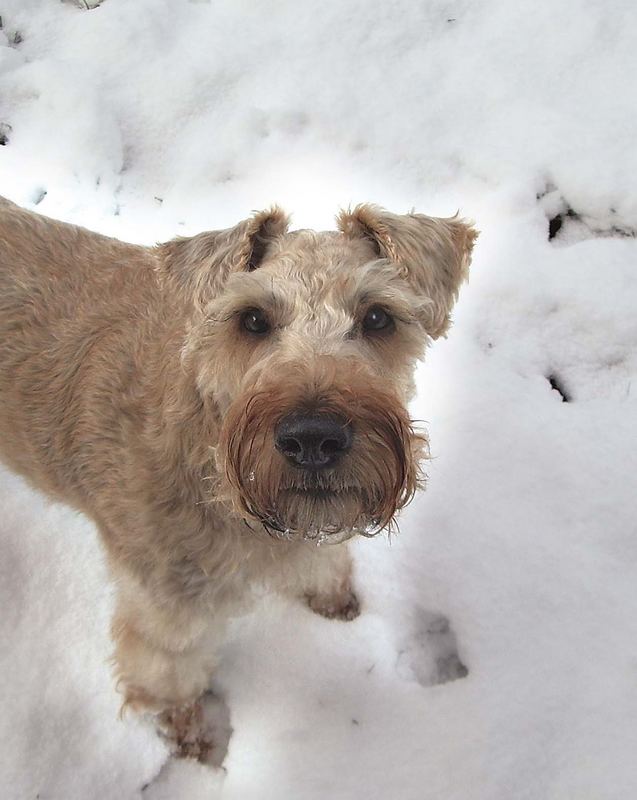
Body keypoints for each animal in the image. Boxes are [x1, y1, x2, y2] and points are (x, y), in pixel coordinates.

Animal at [0, 195, 474, 756]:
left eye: (378, 316)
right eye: (252, 319)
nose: (313, 438)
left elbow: (325, 564)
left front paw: (338, 607)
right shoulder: (167, 610)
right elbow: (169, 683)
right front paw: (194, 744)